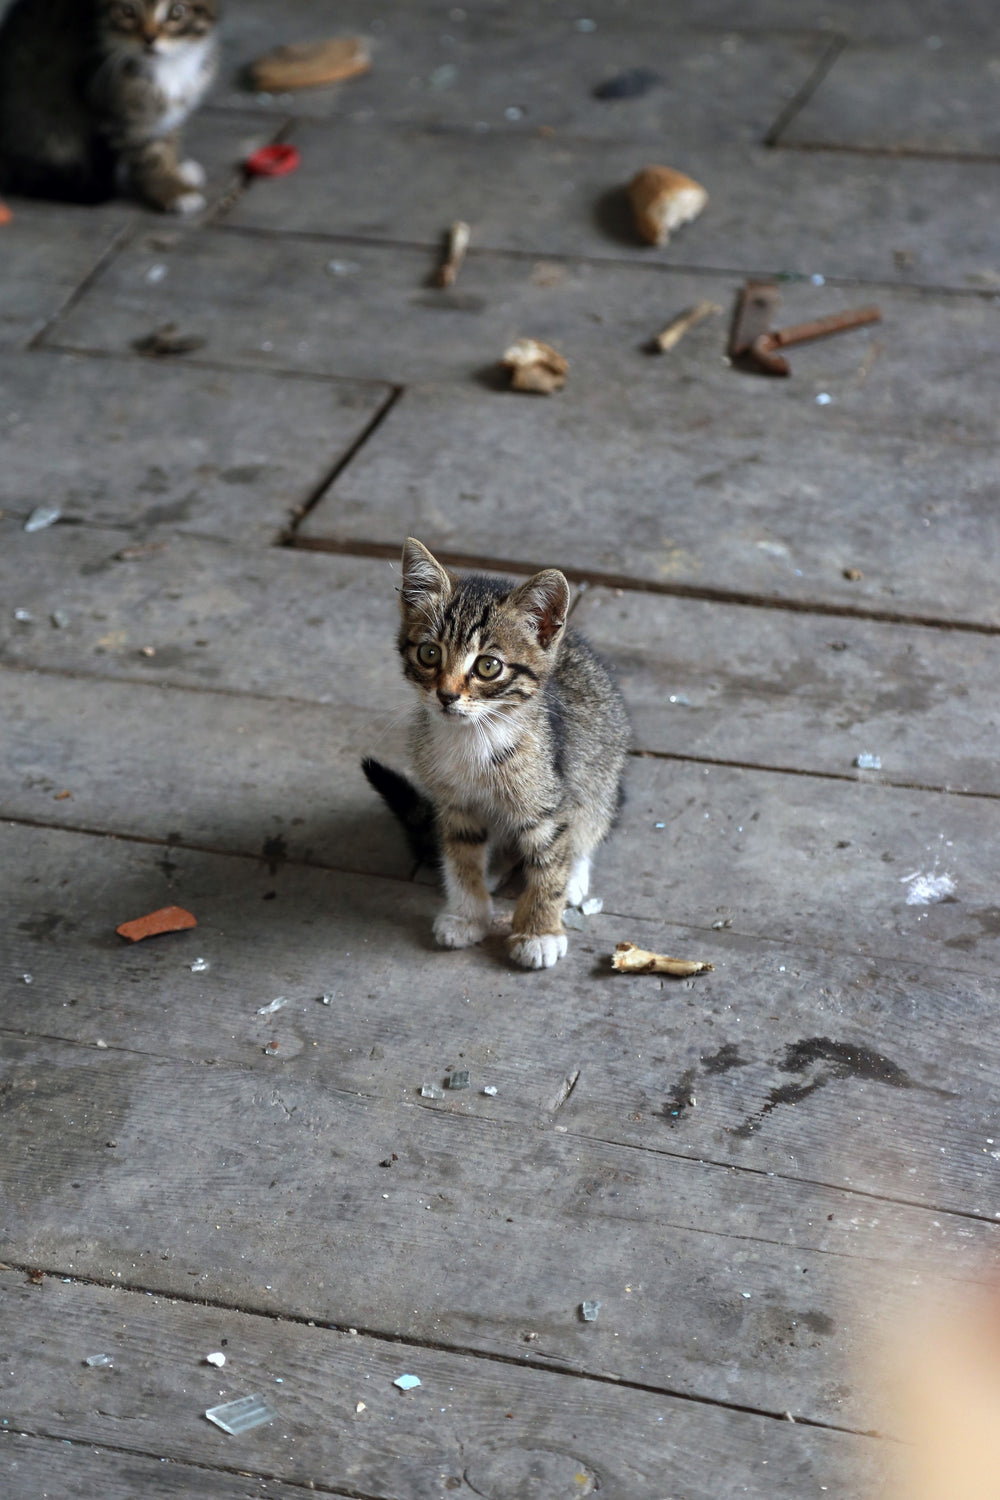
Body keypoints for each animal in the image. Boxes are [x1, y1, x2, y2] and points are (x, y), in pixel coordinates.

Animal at [0, 0, 217, 211]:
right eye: (127, 11)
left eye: (177, 11)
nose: (149, 38)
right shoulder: (113, 103)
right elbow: (147, 151)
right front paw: (172, 190)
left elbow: (169, 133)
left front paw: (176, 170)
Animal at [364, 540, 629, 972]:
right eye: (429, 653)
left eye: (488, 666)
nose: (446, 695)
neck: (473, 737)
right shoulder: (455, 806)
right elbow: (462, 856)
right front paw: (468, 912)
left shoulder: (548, 803)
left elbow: (549, 866)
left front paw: (539, 931)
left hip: (600, 775)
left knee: (590, 823)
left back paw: (574, 874)